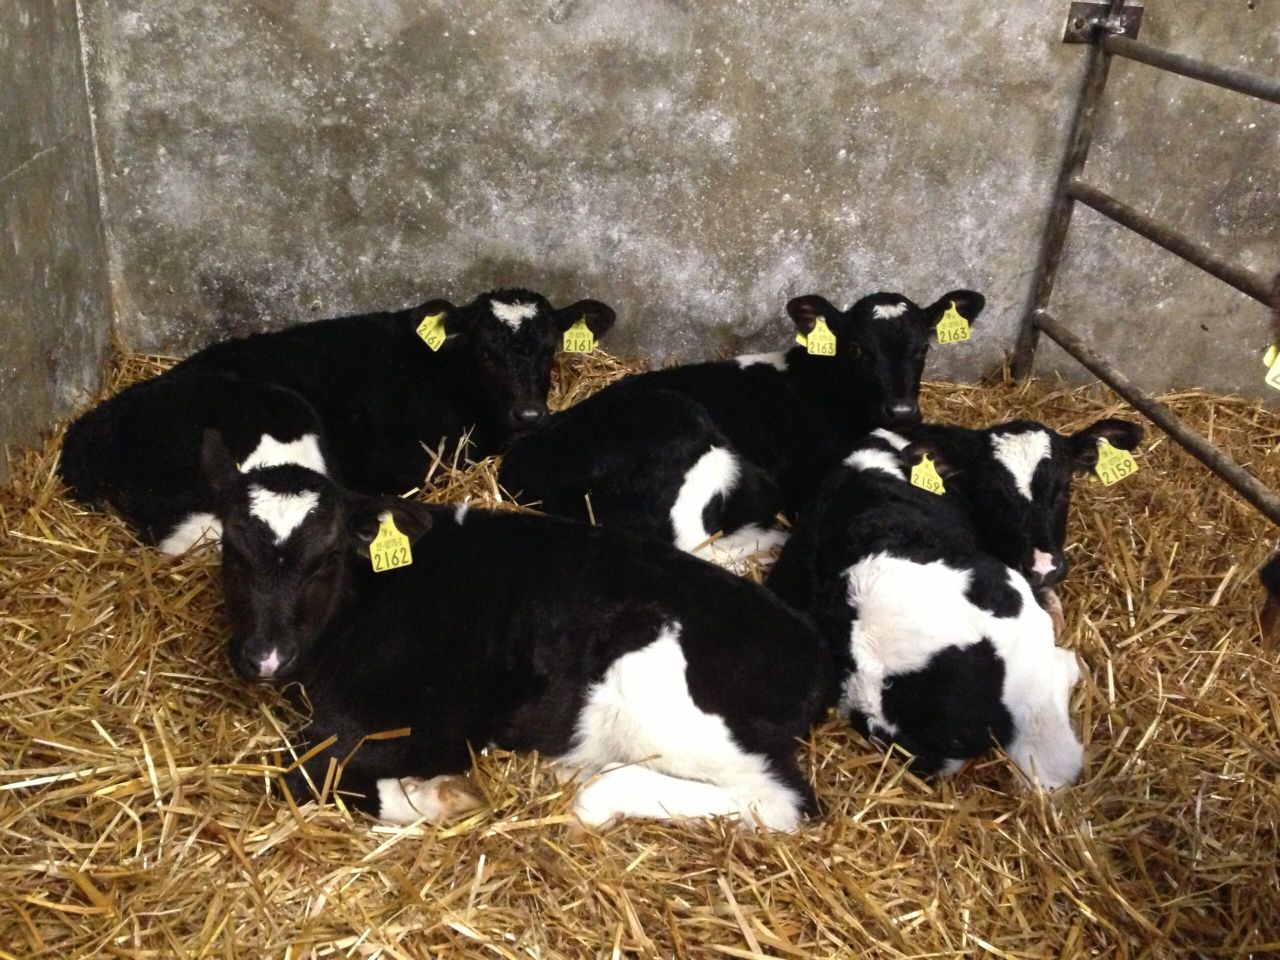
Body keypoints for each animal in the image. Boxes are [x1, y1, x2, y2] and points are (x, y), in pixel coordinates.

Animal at [198, 431, 830, 830]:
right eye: (232, 550)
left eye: (326, 558)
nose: (265, 656)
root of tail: (810, 647)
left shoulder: (427, 723)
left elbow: (295, 775)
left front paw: (433, 797)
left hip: (662, 695)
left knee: (780, 801)